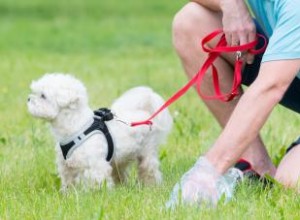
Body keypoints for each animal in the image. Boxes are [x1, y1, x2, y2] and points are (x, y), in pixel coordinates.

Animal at [28, 73, 173, 190]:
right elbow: (68, 182)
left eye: (43, 96)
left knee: (149, 169)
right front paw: (67, 195)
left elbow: (97, 182)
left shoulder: (95, 165)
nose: (28, 99)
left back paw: (151, 186)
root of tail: (145, 113)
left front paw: (96, 195)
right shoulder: (66, 166)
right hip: (119, 159)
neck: (75, 126)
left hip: (147, 151)